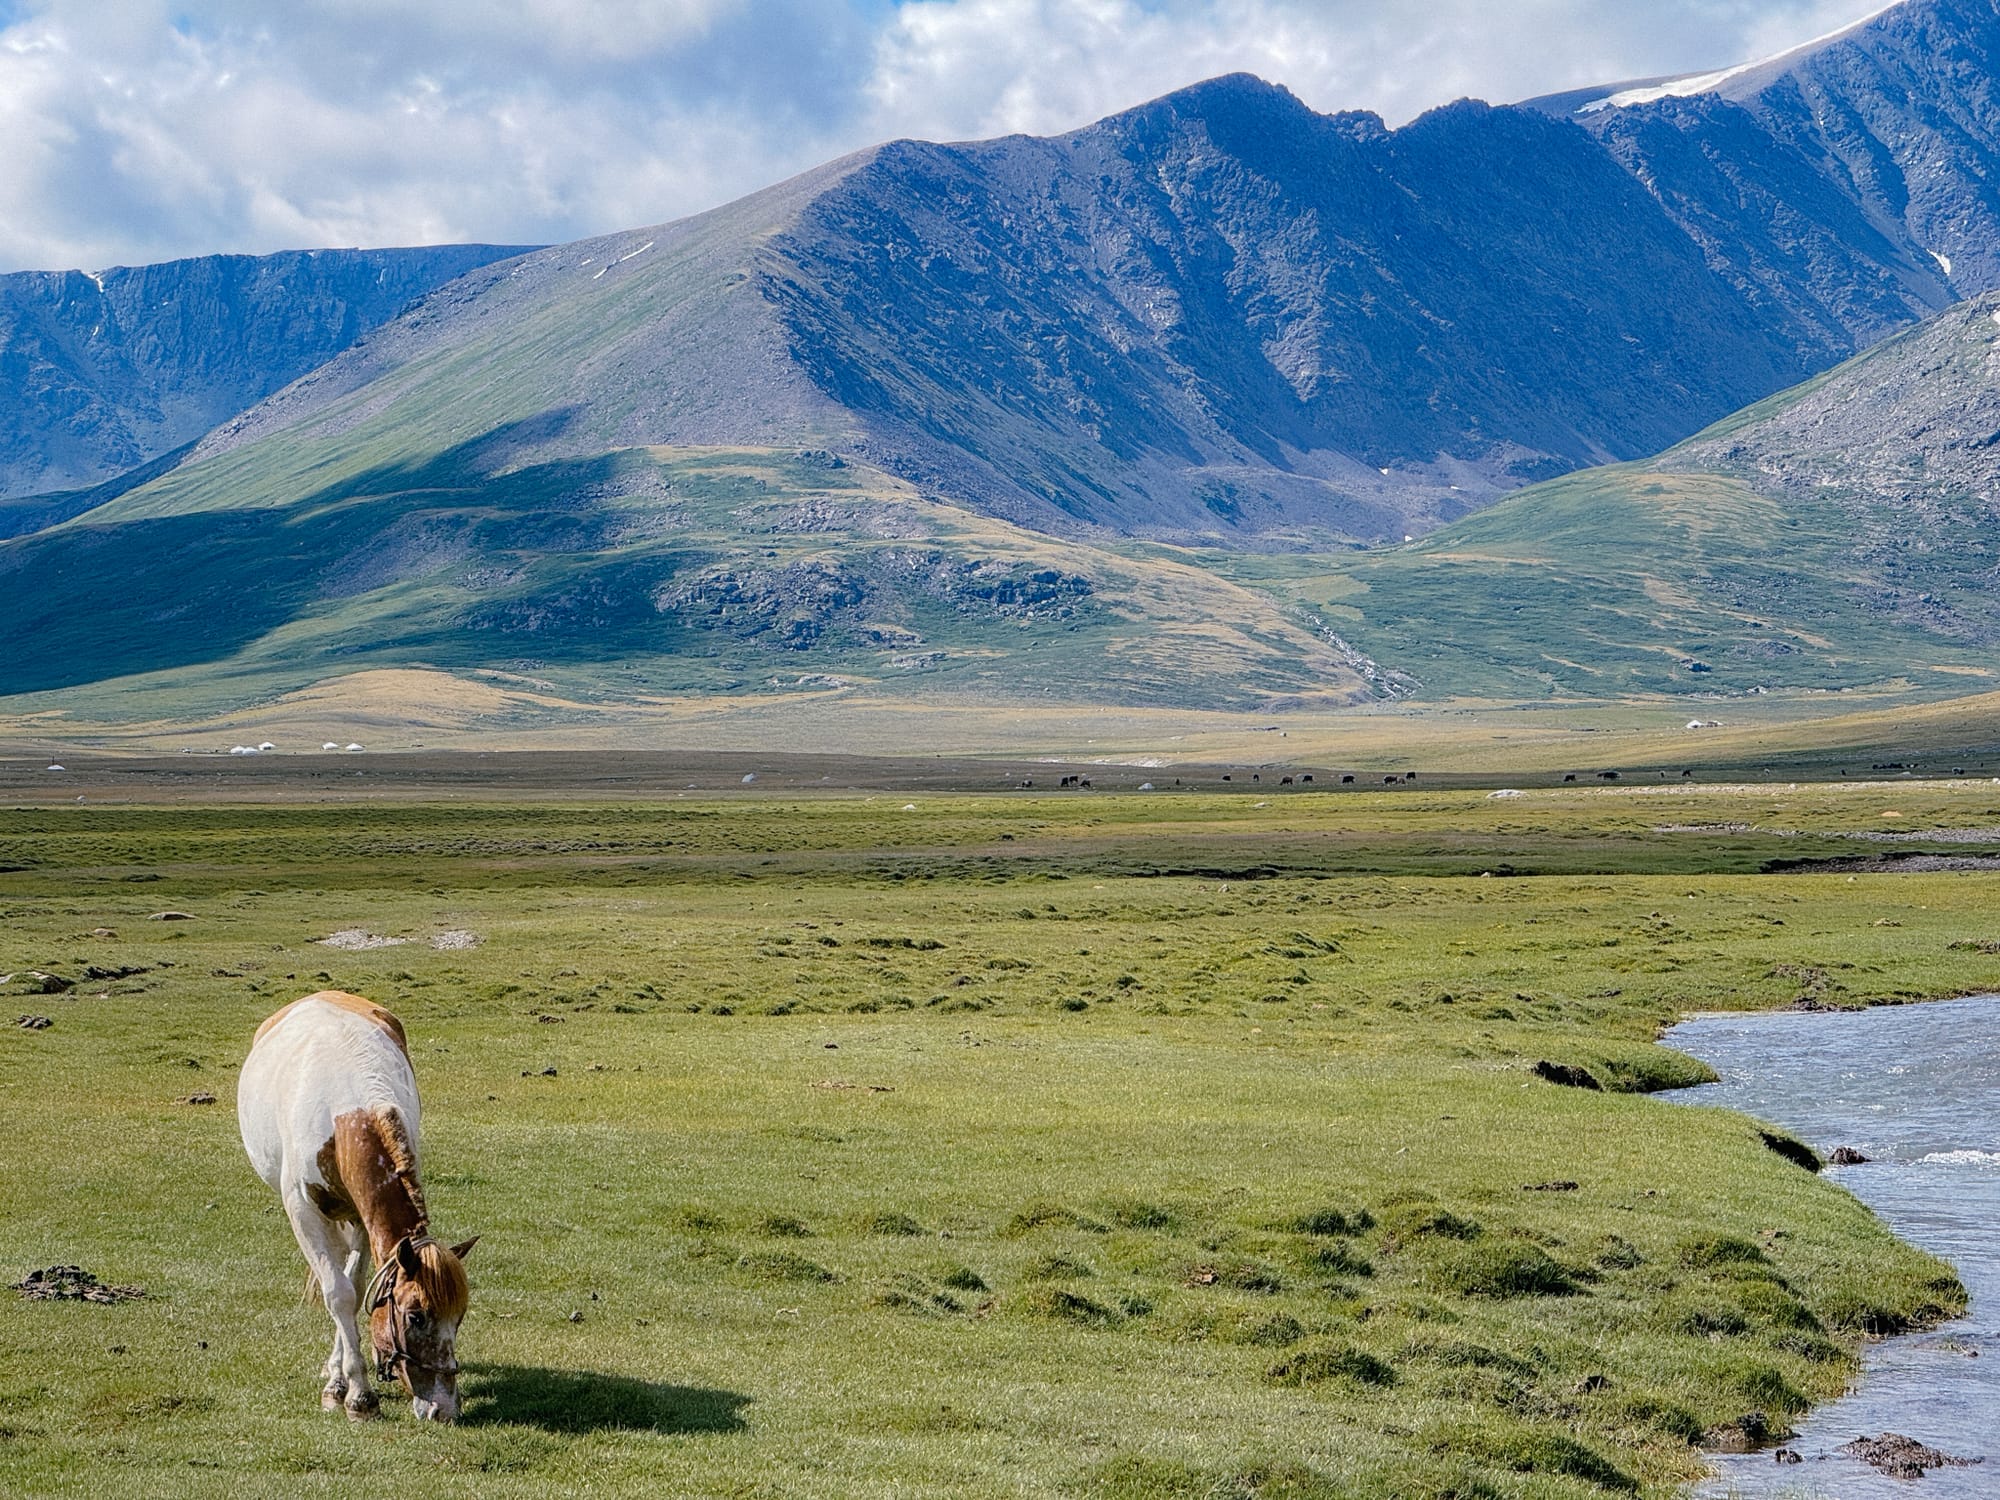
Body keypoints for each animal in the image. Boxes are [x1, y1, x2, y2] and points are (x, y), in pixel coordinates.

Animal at [238, 992, 476, 1424]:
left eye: (460, 1316)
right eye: (416, 1316)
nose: (444, 1409)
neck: (346, 1113)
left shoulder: (362, 1219)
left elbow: (356, 1286)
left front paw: (341, 1379)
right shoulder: (304, 1213)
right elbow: (339, 1294)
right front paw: (357, 1397)